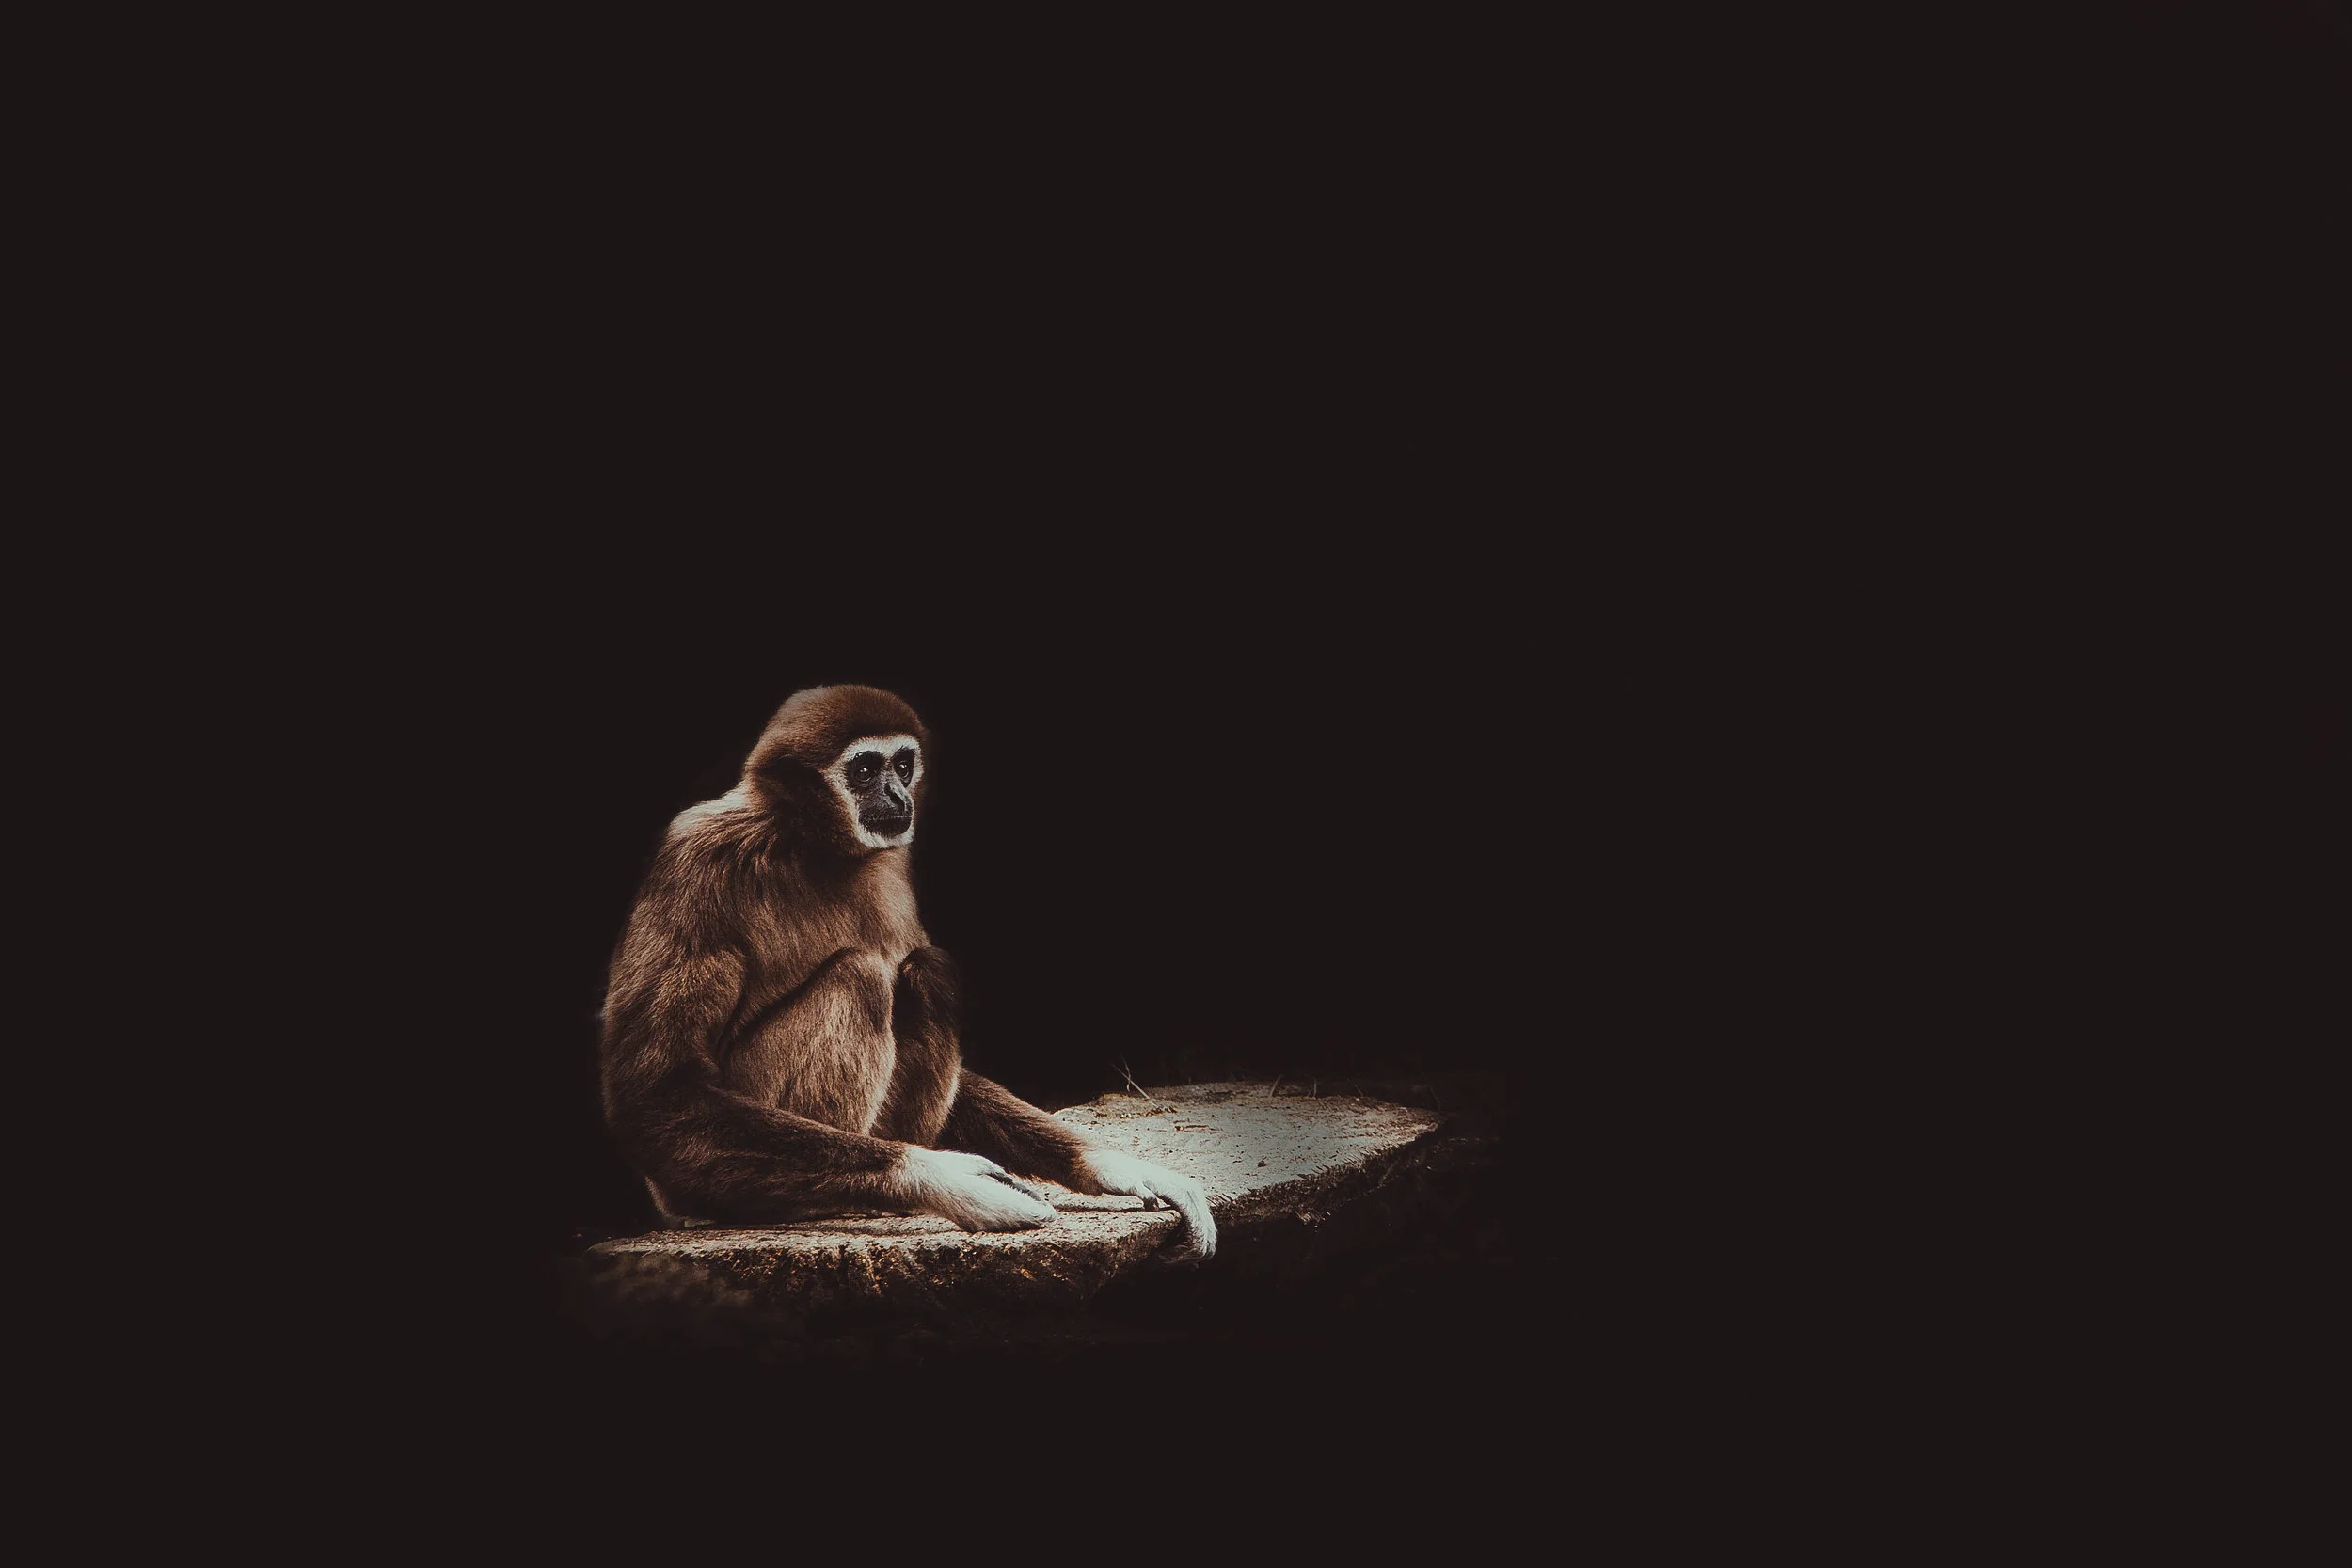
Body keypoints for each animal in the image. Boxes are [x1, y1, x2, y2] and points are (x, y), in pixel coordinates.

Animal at [598, 684, 1216, 1257]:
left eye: (901, 764)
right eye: (864, 769)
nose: (896, 793)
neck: (805, 841)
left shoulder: (893, 871)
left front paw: (1116, 1166)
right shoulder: (696, 857)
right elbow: (658, 1094)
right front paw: (944, 1178)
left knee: (929, 972)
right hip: (693, 1179)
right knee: (862, 978)